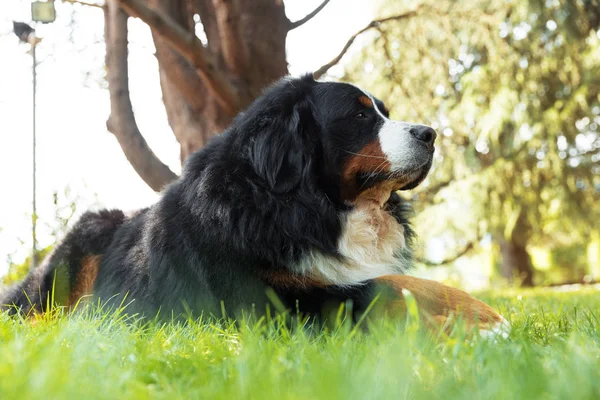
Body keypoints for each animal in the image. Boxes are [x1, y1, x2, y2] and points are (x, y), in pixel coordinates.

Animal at [0, 74, 508, 334]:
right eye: (360, 114)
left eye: (384, 111)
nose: (430, 134)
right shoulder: (269, 301)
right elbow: (377, 288)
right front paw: (469, 327)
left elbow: (410, 281)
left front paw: (482, 312)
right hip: (80, 246)